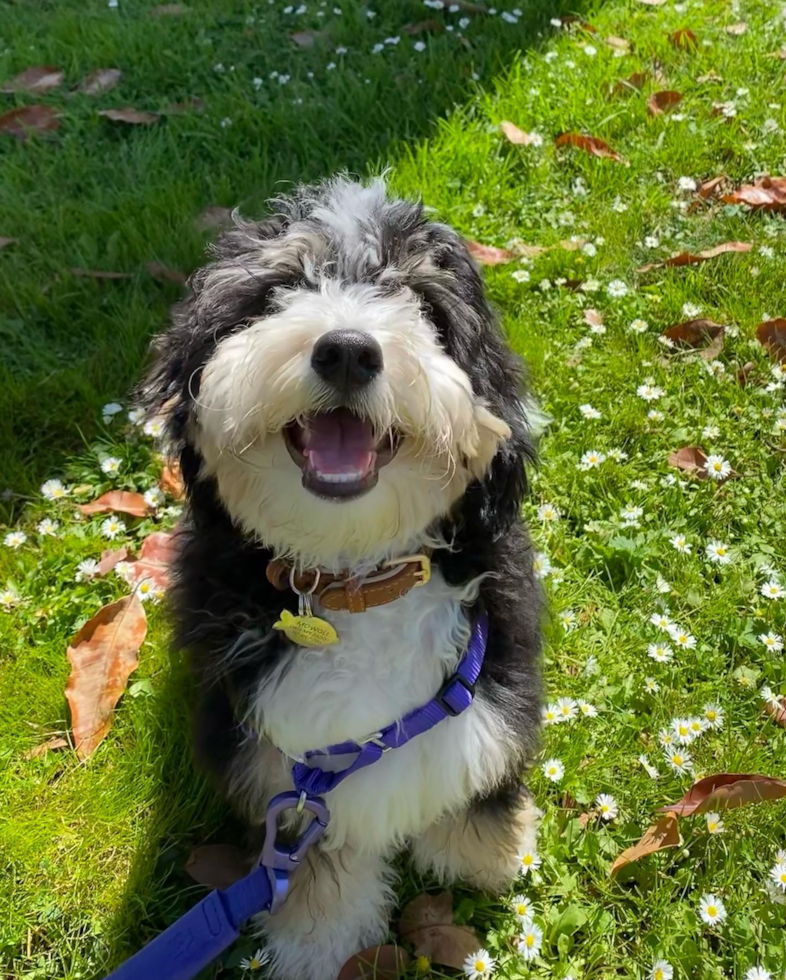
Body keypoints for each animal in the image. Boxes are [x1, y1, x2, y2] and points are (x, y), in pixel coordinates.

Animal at [141, 176, 544, 980]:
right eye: (280, 290)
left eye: (420, 303)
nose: (349, 351)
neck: (355, 581)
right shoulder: (275, 765)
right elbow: (315, 858)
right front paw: (317, 938)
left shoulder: (495, 671)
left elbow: (482, 778)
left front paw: (485, 854)